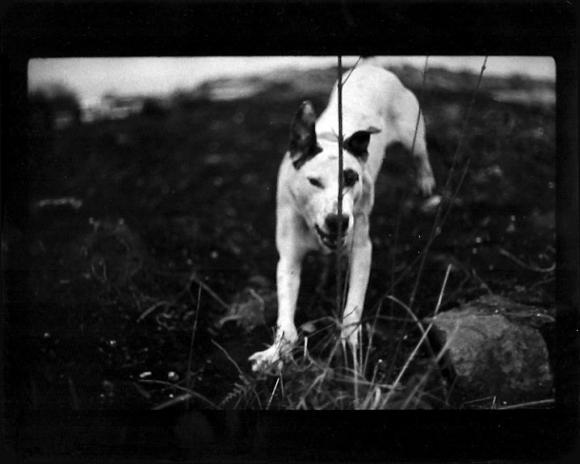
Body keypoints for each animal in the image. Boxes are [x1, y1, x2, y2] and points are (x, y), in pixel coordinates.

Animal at [249, 60, 436, 374]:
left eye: (350, 178)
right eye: (313, 181)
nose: (337, 221)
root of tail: (373, 66)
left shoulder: (361, 248)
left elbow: (353, 307)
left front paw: (349, 345)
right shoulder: (288, 260)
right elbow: (286, 320)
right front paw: (275, 353)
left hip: (413, 131)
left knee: (421, 155)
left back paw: (426, 184)